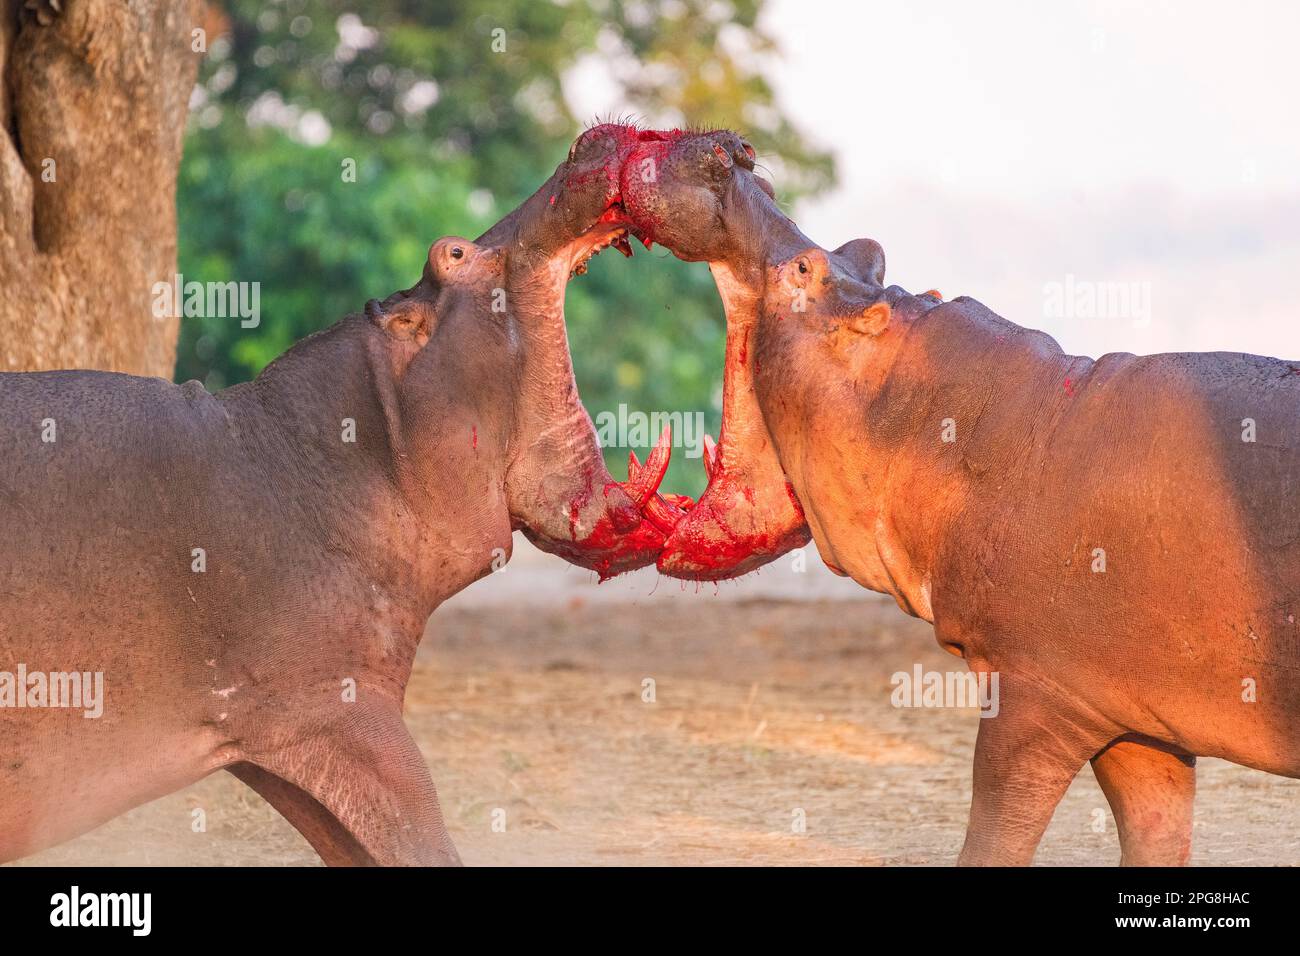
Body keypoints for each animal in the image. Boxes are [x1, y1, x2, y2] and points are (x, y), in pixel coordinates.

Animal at [626, 128, 1300, 865]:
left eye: (804, 270)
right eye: (865, 250)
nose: (729, 157)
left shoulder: (1035, 698)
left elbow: (991, 841)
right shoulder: (1139, 723)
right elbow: (1156, 837)